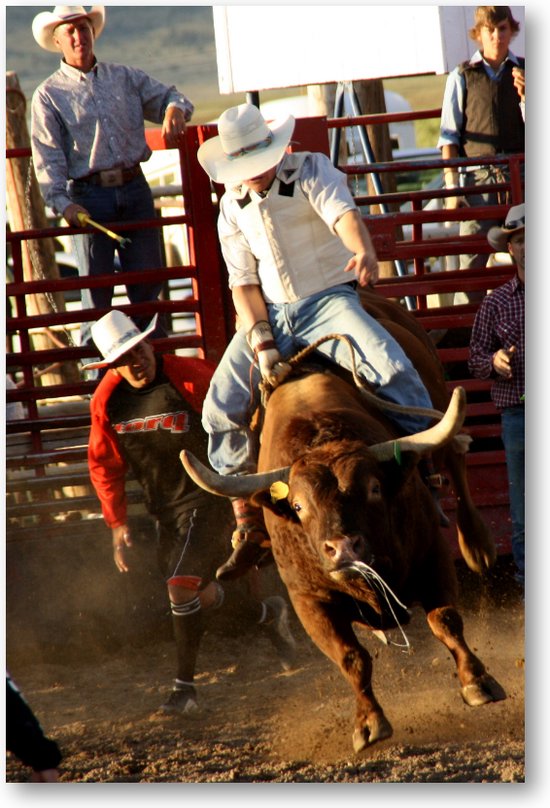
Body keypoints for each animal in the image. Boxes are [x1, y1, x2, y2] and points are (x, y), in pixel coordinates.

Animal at [182, 290, 508, 752]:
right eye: (298, 506)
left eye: (373, 488)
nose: (343, 549)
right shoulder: (308, 600)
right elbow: (351, 658)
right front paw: (368, 722)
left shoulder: (432, 556)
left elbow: (445, 620)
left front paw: (477, 681)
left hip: (436, 401)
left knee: (453, 458)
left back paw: (478, 545)